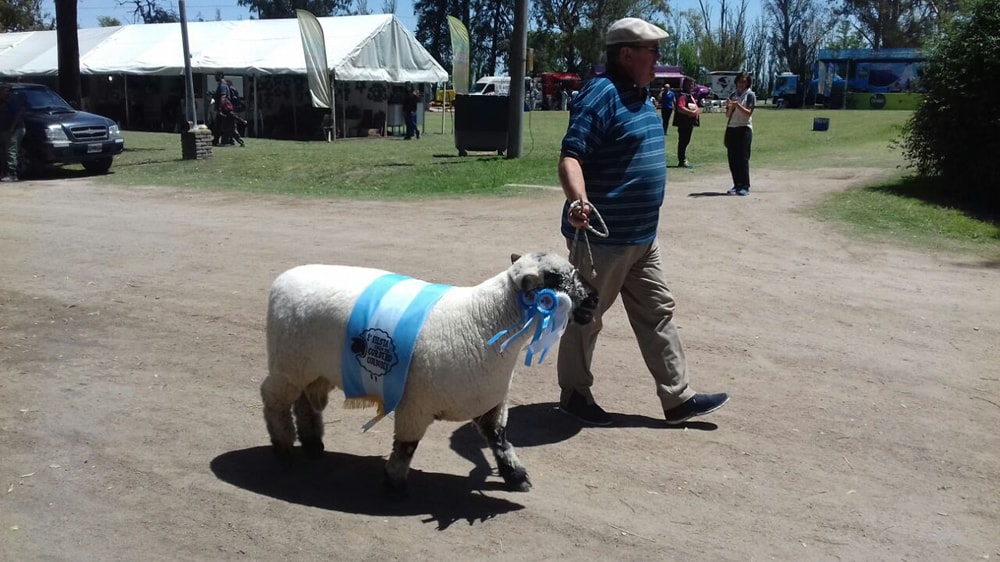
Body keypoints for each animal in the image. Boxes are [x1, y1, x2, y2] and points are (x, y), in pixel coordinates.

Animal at [262, 252, 596, 496]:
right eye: (555, 278)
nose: (594, 298)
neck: (484, 320)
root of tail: (281, 280)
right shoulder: (415, 406)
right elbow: (406, 447)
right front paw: (394, 485)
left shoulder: (491, 402)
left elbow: (500, 441)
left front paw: (515, 476)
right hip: (286, 364)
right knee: (273, 400)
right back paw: (283, 448)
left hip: (311, 369)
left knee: (305, 403)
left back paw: (312, 444)